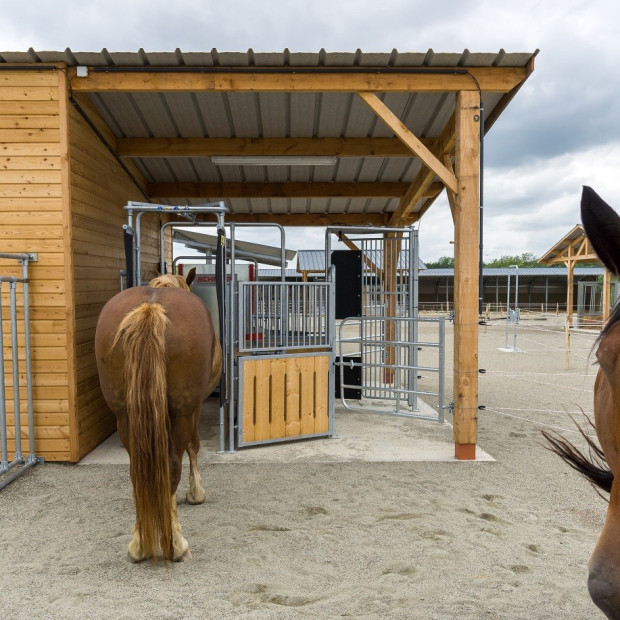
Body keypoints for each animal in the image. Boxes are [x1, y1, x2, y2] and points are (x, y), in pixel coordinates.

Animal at [95, 268, 222, 560]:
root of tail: (150, 308)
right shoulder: (194, 407)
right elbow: (193, 446)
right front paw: (196, 492)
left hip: (124, 416)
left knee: (137, 472)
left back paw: (139, 544)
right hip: (182, 412)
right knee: (172, 465)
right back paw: (176, 544)